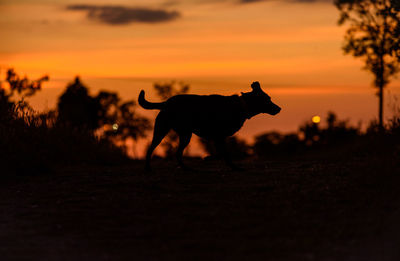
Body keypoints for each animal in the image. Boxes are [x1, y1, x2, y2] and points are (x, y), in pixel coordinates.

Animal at [138, 81, 282, 171]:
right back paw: (148, 169)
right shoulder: (219, 137)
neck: (241, 105)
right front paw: (233, 167)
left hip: (184, 135)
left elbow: (221, 153)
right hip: (164, 132)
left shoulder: (217, 138)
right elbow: (224, 154)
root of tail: (166, 102)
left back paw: (186, 169)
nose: (279, 108)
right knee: (151, 150)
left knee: (177, 154)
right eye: (268, 99)